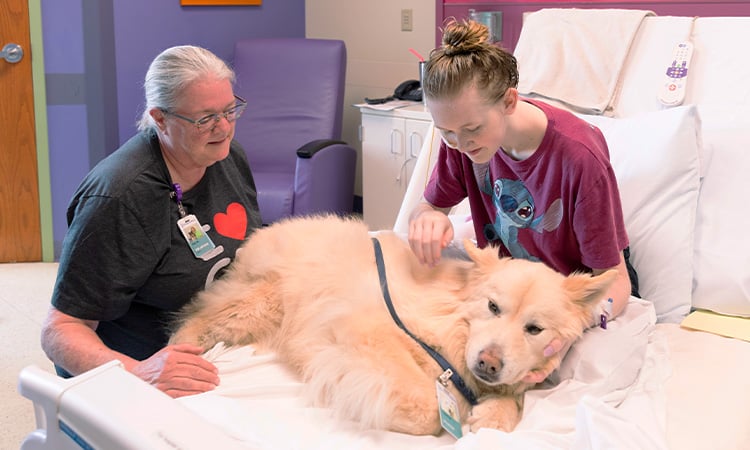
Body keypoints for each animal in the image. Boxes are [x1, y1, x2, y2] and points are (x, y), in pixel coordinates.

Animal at [170, 214, 616, 436]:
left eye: (534, 329)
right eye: (492, 307)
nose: (488, 363)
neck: (452, 320)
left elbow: (513, 402)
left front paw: (493, 415)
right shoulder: (369, 331)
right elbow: (429, 409)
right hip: (258, 304)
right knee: (193, 321)